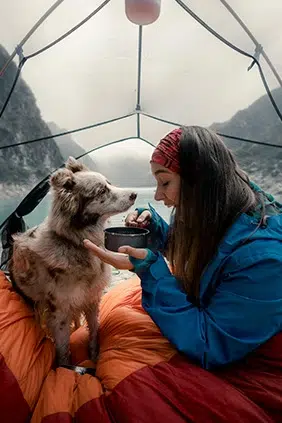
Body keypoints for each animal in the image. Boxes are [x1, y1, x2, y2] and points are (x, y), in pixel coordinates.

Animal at [8, 157, 137, 366]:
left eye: (109, 183)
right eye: (101, 191)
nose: (134, 194)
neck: (74, 243)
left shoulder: (92, 299)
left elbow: (94, 332)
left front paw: (94, 357)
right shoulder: (59, 312)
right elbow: (63, 349)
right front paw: (66, 367)